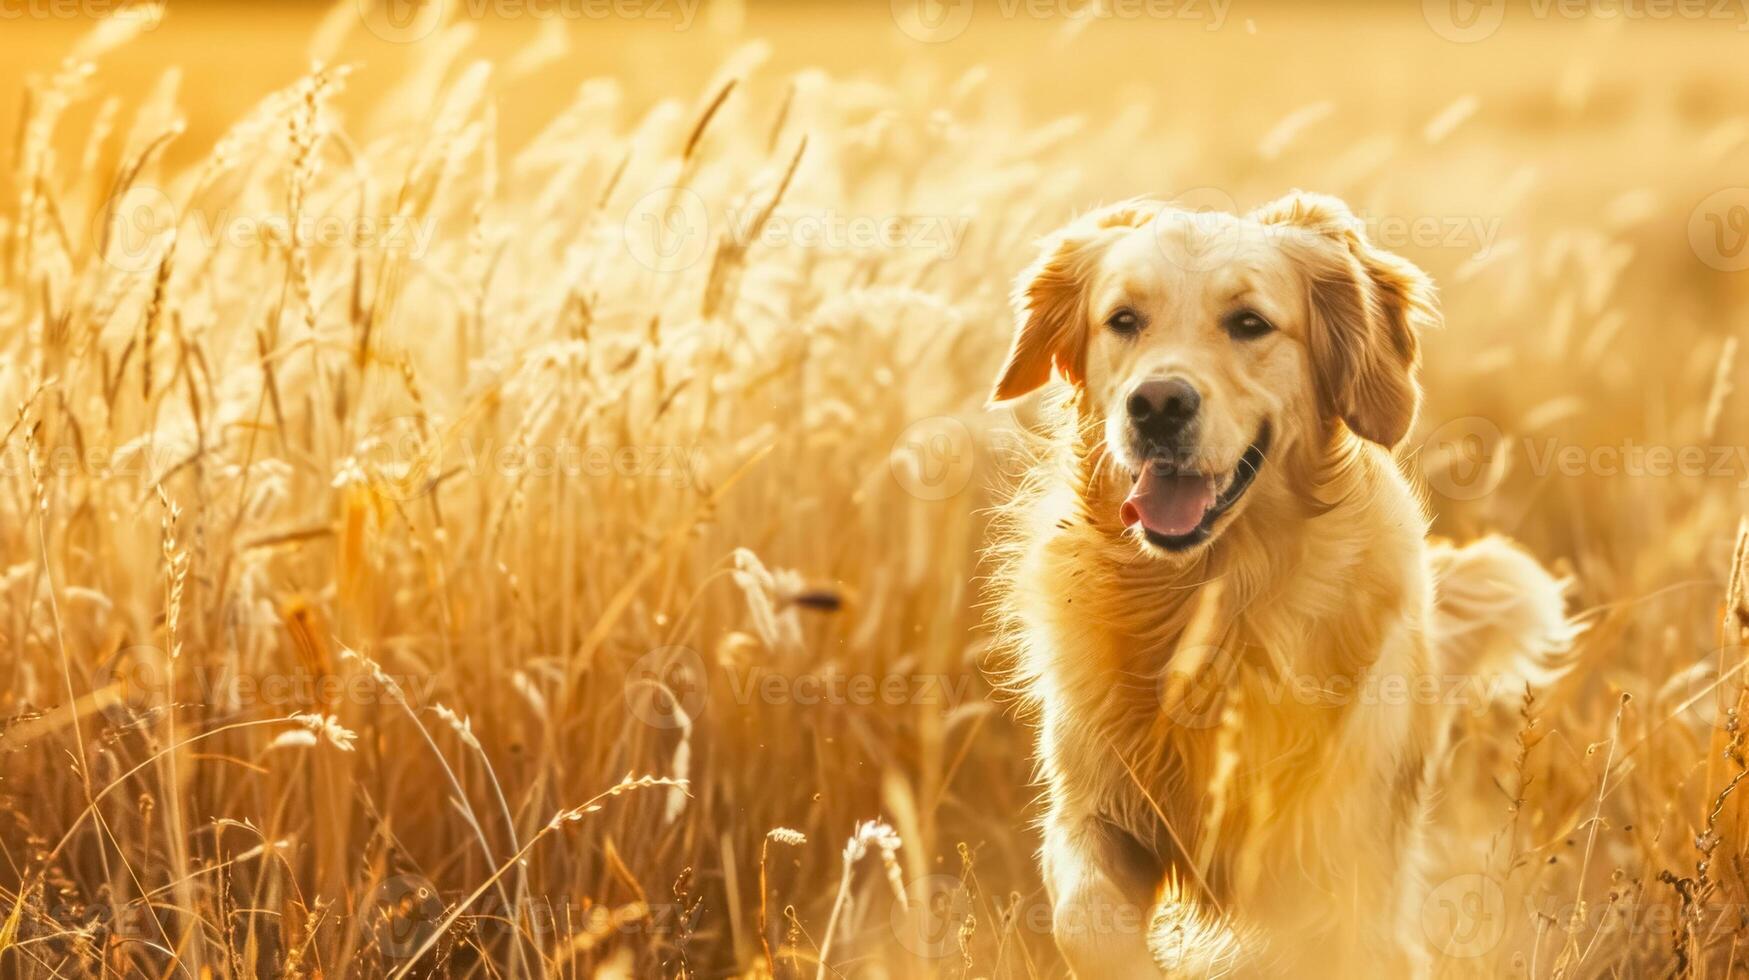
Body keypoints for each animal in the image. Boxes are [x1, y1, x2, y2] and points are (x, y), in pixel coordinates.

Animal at [993, 193, 1581, 980]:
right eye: (1122, 320)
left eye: (1249, 323)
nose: (1157, 404)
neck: (1206, 598)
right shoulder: (1093, 804)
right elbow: (1086, 919)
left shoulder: (1334, 855)